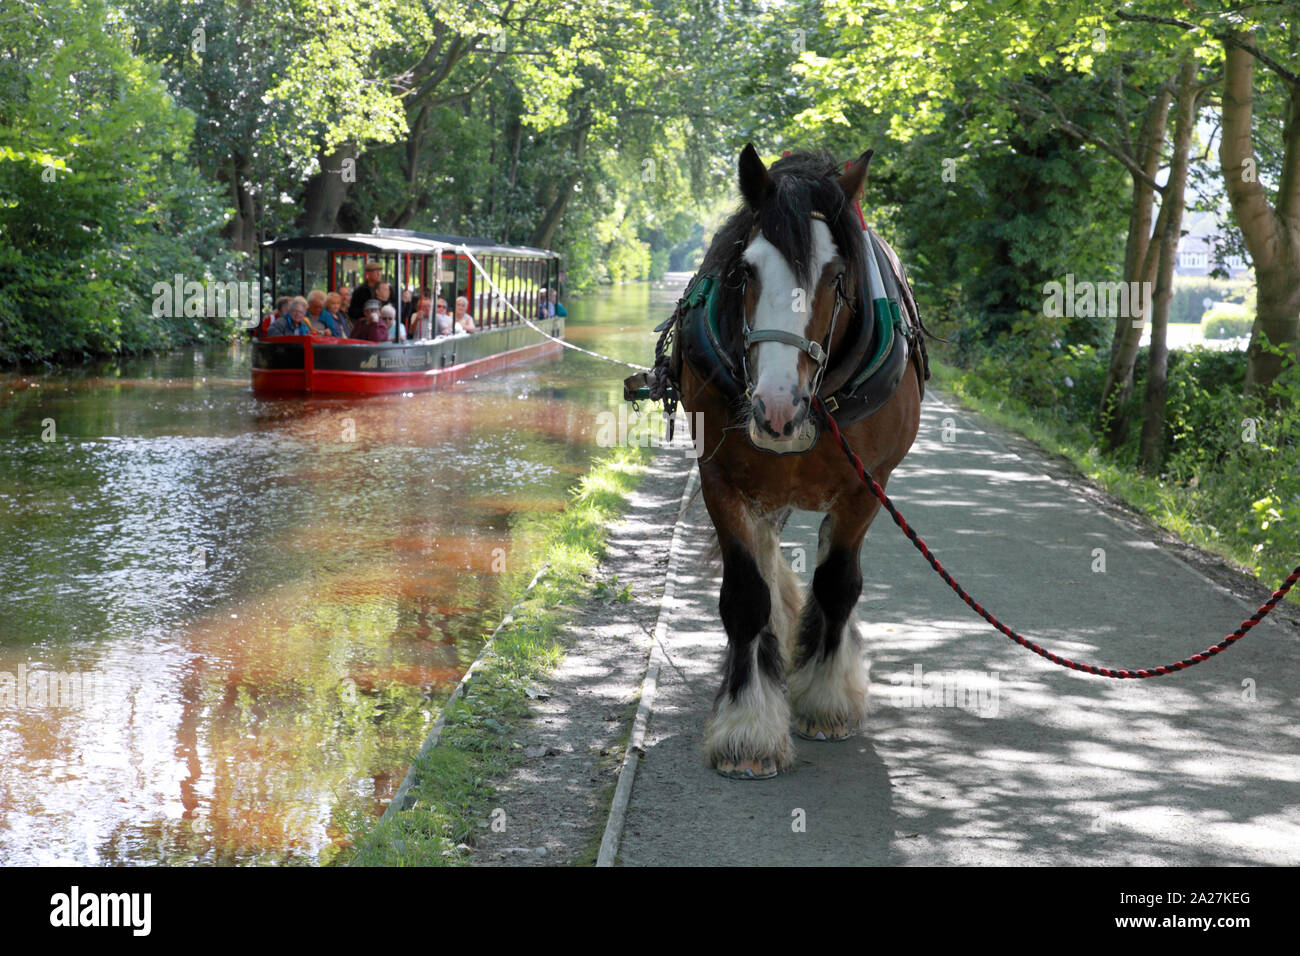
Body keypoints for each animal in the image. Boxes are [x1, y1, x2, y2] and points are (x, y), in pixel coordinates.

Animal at [657, 145, 927, 779]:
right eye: (745, 271)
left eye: (836, 275)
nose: (775, 407)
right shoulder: (721, 481)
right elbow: (745, 596)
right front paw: (748, 727)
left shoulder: (866, 487)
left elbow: (837, 585)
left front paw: (826, 700)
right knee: (767, 556)